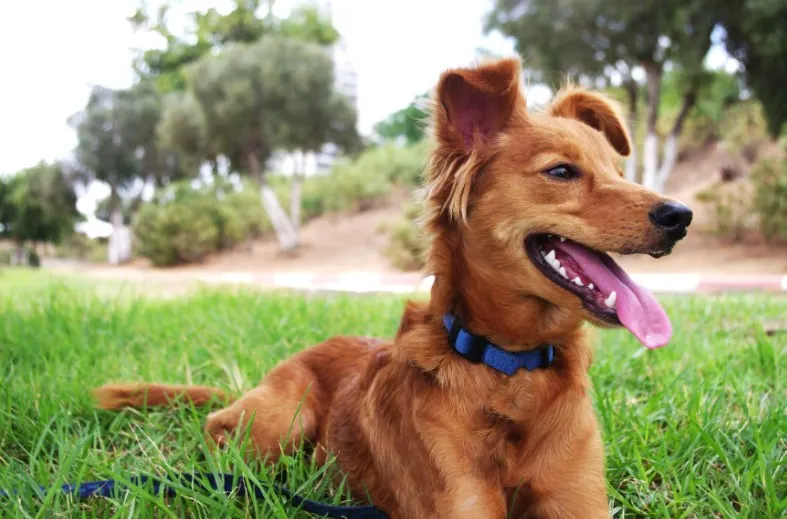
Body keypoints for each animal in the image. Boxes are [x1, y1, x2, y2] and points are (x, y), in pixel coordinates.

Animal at [95, 58, 692, 519]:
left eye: (619, 171)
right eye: (562, 172)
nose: (681, 216)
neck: (511, 368)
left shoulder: (579, 500)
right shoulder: (461, 503)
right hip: (278, 423)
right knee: (218, 430)